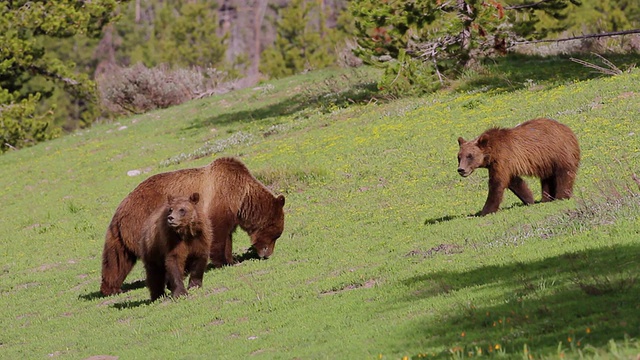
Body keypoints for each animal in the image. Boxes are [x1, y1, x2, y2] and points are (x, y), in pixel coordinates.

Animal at [100, 157, 284, 296]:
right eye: (276, 235)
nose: (267, 254)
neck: (243, 198)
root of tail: (122, 208)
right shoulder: (220, 199)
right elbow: (218, 234)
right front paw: (224, 261)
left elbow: (227, 236)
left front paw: (232, 259)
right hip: (145, 227)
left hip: (121, 236)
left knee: (117, 259)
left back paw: (112, 288)